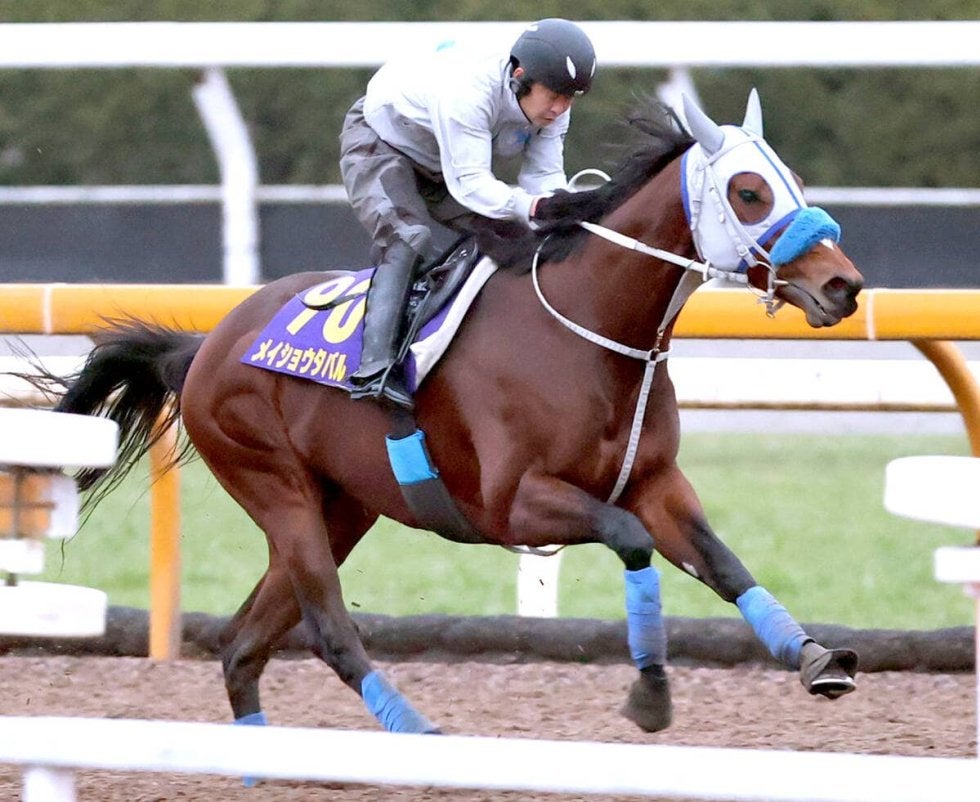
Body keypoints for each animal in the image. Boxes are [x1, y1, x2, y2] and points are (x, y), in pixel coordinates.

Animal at [46, 91, 862, 736]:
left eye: (792, 181)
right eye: (749, 192)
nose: (843, 286)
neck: (588, 328)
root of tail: (208, 343)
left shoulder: (655, 481)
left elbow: (722, 563)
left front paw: (815, 657)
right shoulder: (511, 506)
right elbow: (631, 542)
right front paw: (651, 693)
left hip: (342, 507)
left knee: (243, 644)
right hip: (276, 489)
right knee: (328, 630)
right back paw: (418, 733)